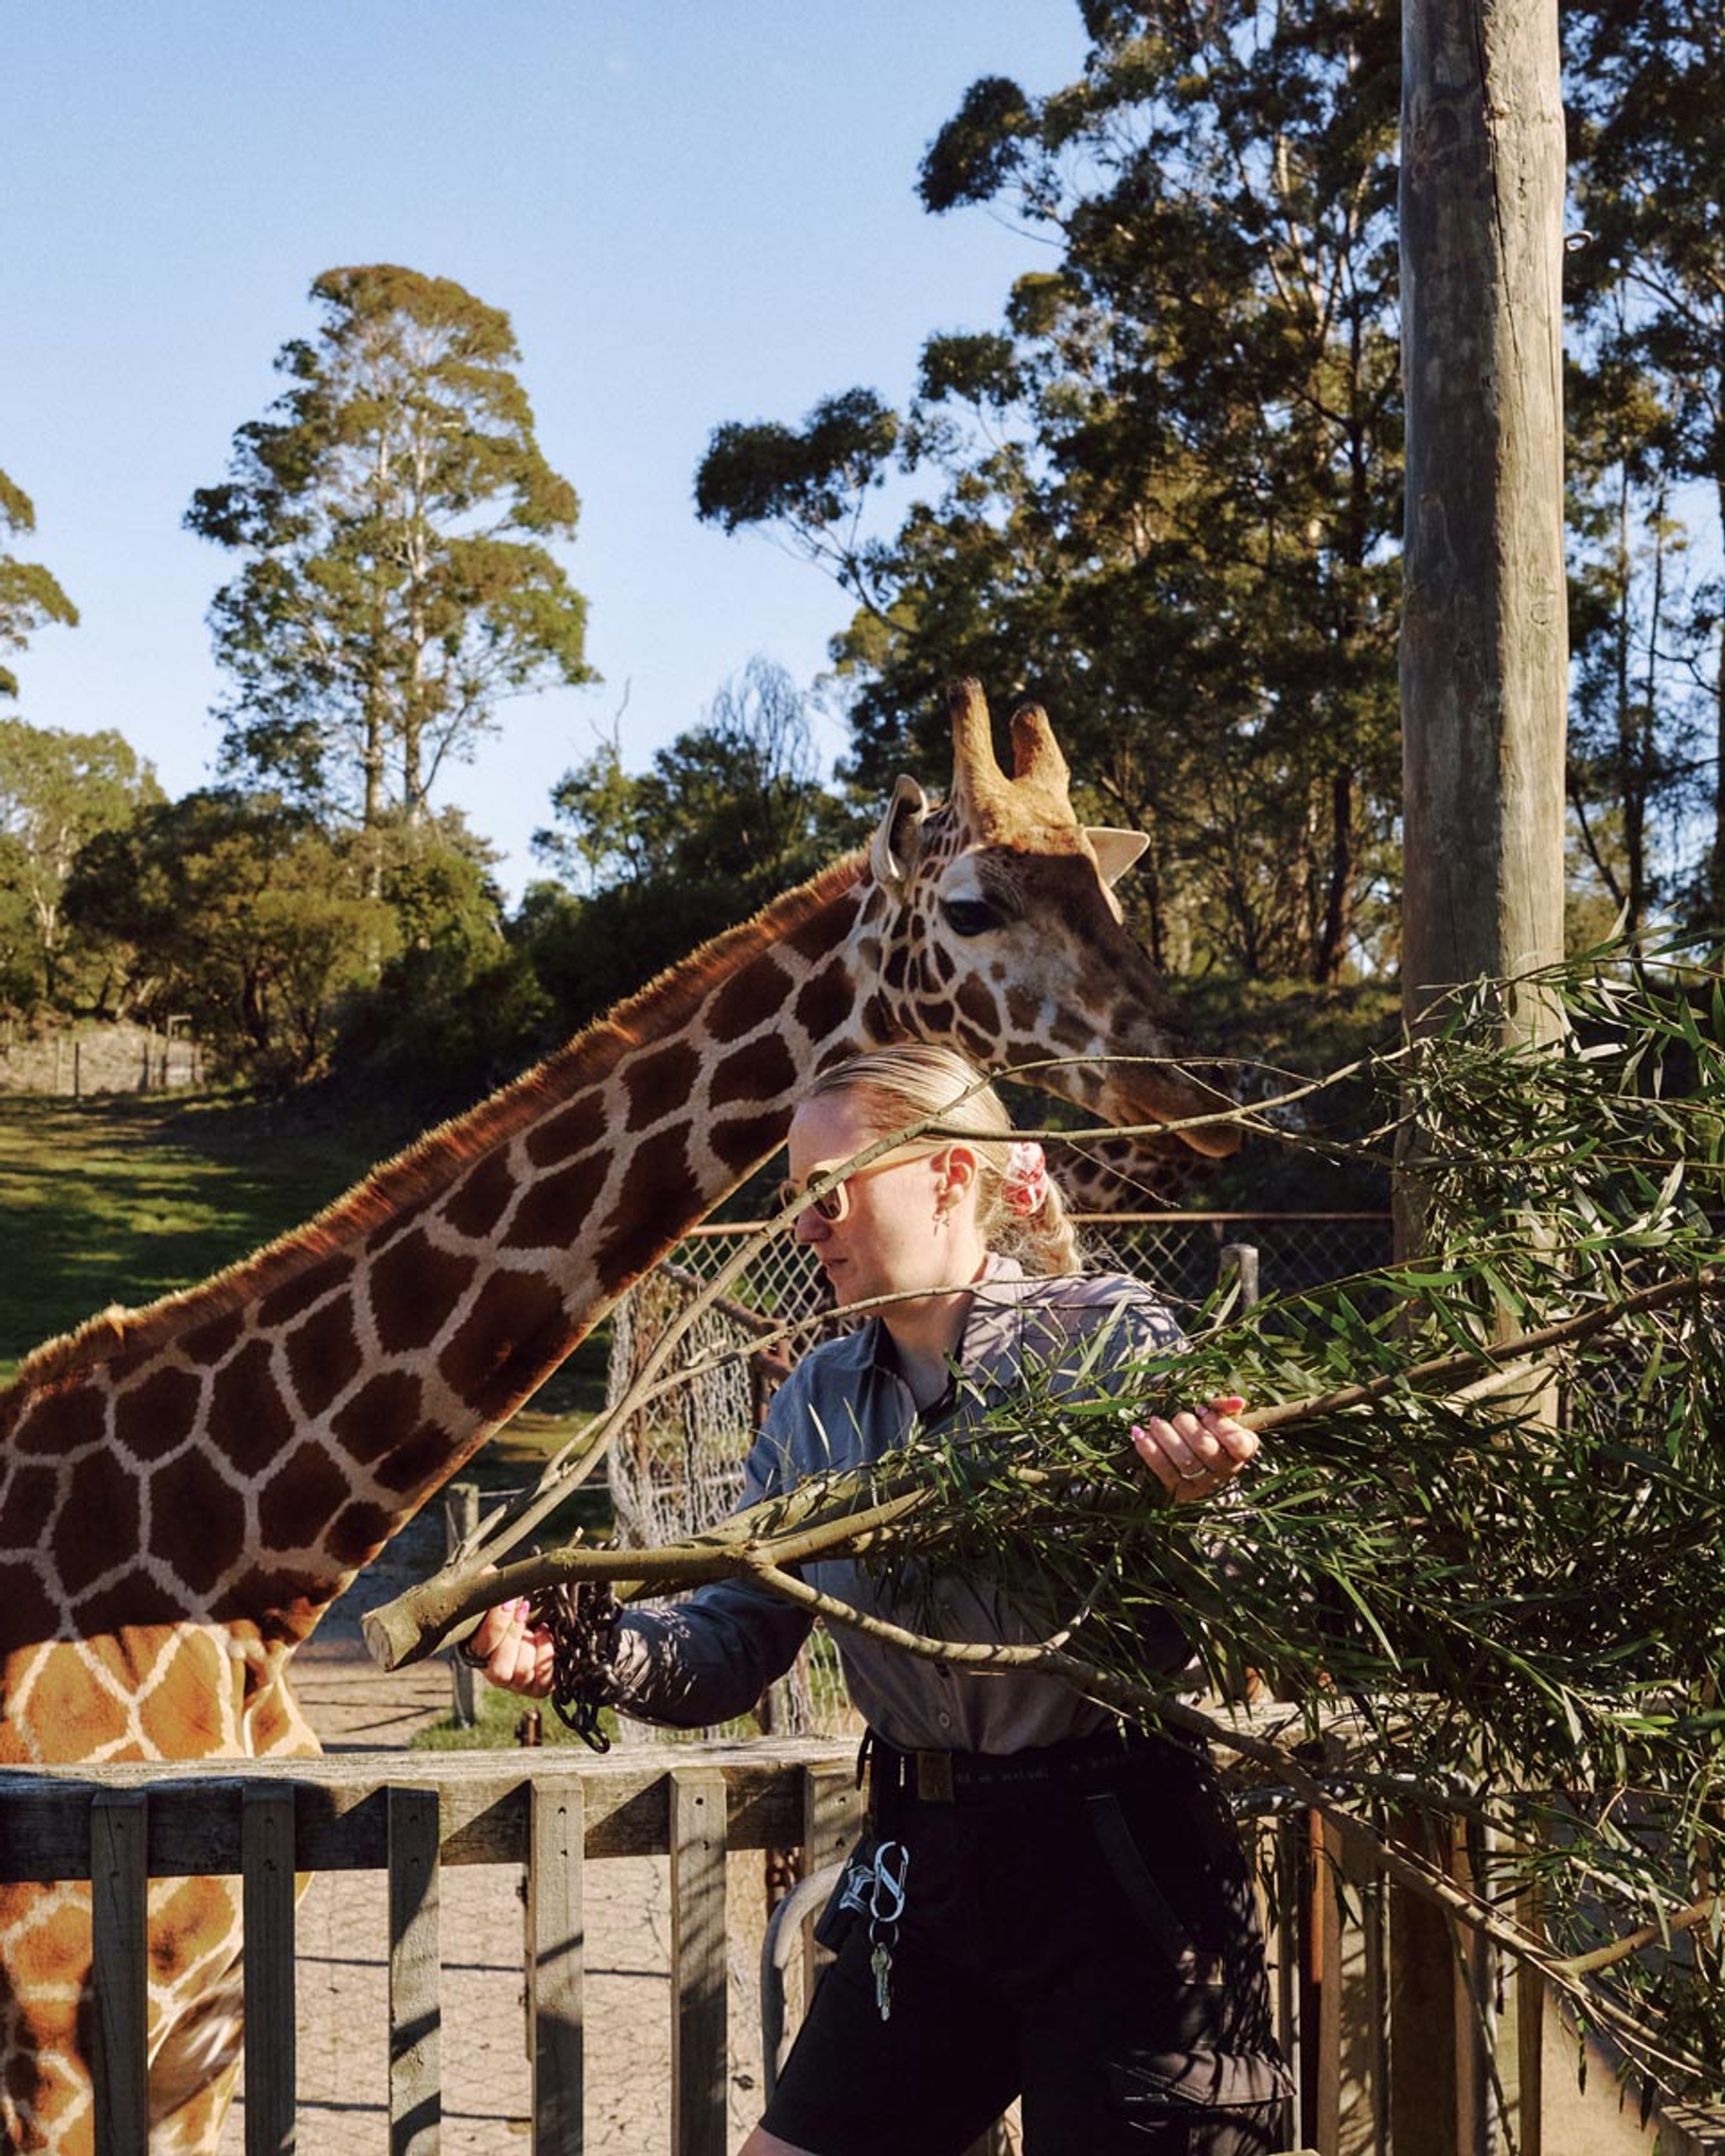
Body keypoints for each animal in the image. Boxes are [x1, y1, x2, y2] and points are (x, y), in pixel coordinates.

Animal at [0, 679, 1238, 2154]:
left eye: (1106, 889)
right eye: (976, 904)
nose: (1201, 1089)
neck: (228, 1559)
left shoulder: (206, 2038)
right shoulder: (56, 2050)